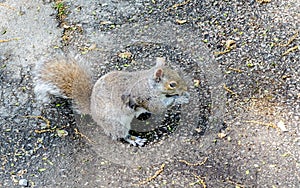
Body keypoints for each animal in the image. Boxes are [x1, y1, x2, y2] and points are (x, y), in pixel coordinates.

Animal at [34, 56, 190, 146]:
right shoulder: (146, 97)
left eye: (178, 73)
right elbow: (159, 107)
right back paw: (134, 139)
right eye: (172, 84)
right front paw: (181, 98)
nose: (186, 88)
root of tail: (92, 111)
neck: (149, 84)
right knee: (121, 135)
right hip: (116, 123)